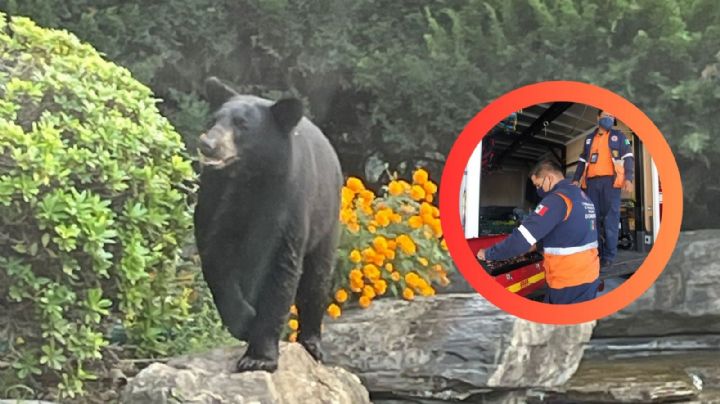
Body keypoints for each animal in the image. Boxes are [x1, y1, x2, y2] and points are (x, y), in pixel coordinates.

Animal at [194, 77, 342, 372]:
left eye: (242, 124)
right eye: (215, 119)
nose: (208, 143)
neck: (250, 178)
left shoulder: (288, 203)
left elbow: (280, 272)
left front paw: (258, 358)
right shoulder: (217, 199)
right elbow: (215, 256)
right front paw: (243, 321)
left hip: (327, 218)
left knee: (317, 279)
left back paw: (312, 343)